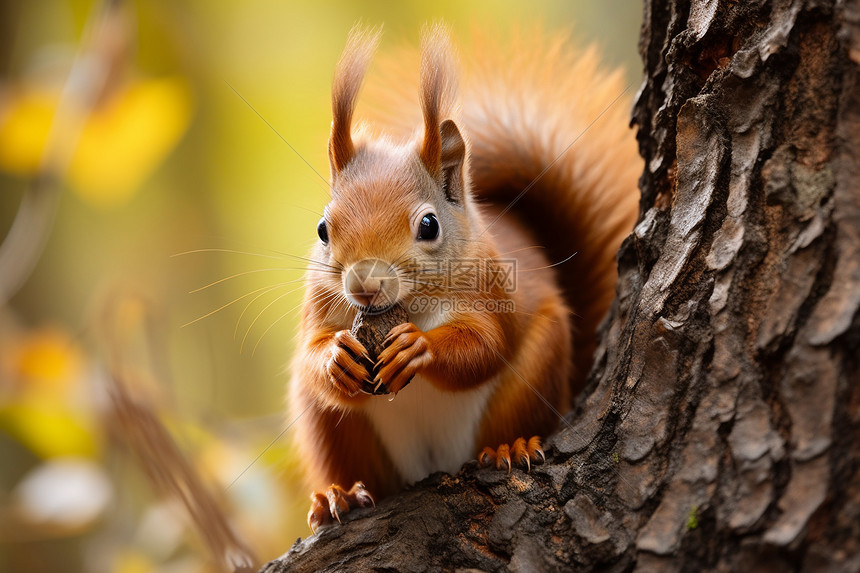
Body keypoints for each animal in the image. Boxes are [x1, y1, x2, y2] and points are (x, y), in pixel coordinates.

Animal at [288, 23, 640, 532]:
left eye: (429, 225)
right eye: (322, 229)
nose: (364, 285)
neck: (407, 306)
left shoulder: (492, 289)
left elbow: (485, 346)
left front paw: (419, 347)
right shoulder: (319, 303)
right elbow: (314, 352)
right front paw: (337, 356)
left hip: (536, 368)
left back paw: (510, 447)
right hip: (334, 431)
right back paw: (342, 495)